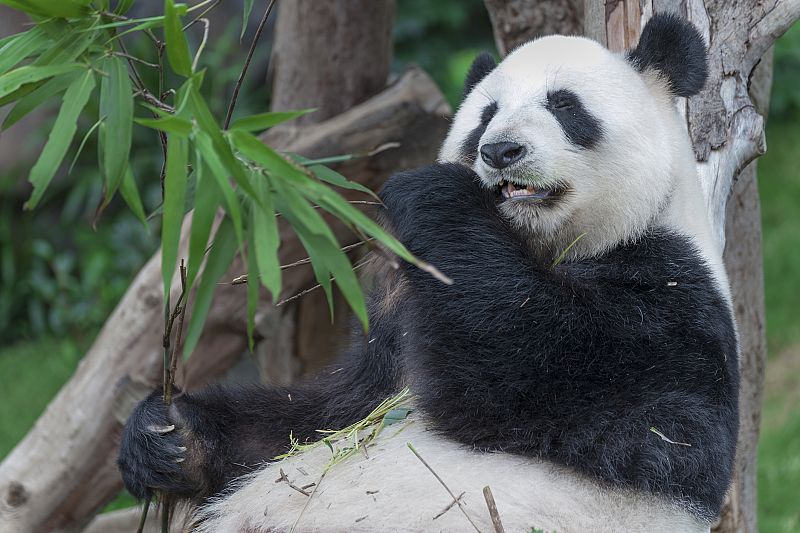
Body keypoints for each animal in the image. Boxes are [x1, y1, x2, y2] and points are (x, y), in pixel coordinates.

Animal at [118, 13, 739, 533]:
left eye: (565, 106)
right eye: (485, 116)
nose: (500, 150)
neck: (536, 246)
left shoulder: (672, 298)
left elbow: (532, 372)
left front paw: (434, 194)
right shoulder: (398, 325)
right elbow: (326, 414)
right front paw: (169, 438)